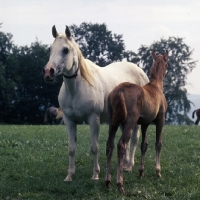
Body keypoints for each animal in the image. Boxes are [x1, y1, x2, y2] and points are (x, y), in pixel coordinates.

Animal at [43, 25, 150, 181]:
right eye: (50, 49)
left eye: (65, 50)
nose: (48, 72)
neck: (77, 89)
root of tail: (141, 72)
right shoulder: (69, 121)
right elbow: (71, 149)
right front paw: (69, 175)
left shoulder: (94, 119)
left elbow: (94, 147)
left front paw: (95, 174)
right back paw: (124, 164)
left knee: (135, 138)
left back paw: (129, 165)